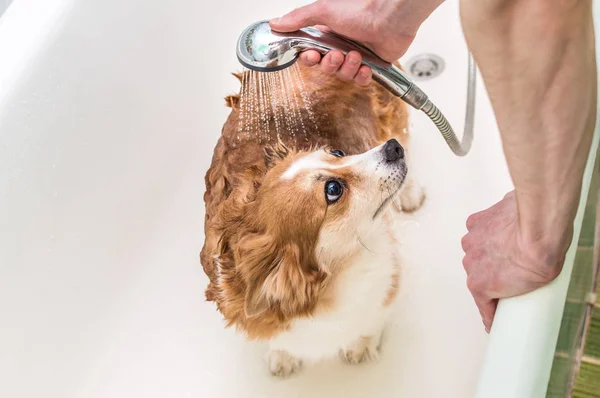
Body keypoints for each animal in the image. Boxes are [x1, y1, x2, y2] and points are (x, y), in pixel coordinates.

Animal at [200, 62, 422, 376]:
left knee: (402, 135)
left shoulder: (384, 278)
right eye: (333, 189)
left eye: (337, 152)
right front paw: (282, 356)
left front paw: (360, 345)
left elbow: (370, 320)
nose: (391, 149)